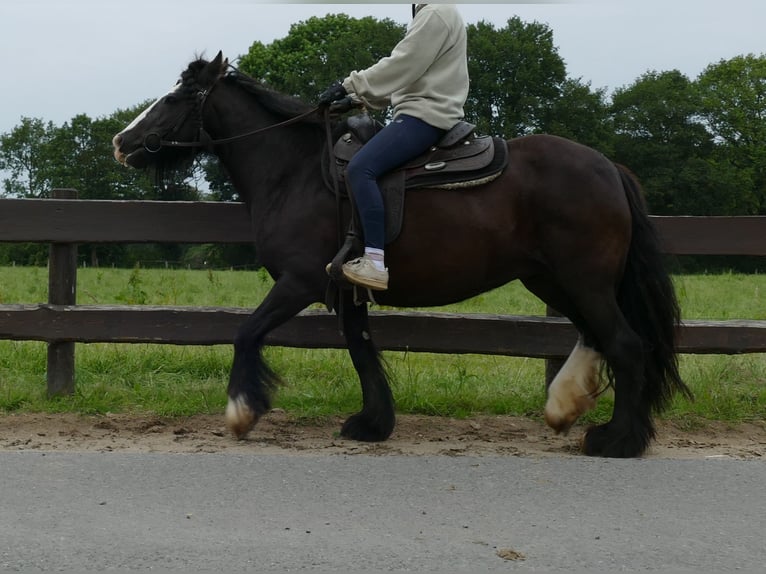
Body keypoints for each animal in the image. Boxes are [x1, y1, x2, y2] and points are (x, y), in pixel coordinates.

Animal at [114, 54, 696, 460]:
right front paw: (373, 424)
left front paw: (240, 412)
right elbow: (362, 351)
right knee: (598, 336)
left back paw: (618, 439)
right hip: (554, 282)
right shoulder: (347, 292)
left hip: (583, 282)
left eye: (178, 97)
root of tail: (607, 168)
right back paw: (566, 406)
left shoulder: (300, 282)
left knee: (625, 344)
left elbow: (247, 332)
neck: (295, 171)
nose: (122, 141)